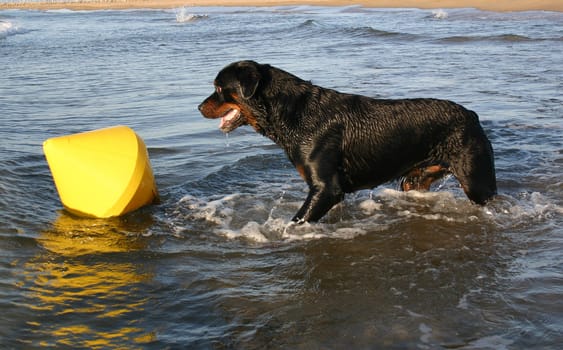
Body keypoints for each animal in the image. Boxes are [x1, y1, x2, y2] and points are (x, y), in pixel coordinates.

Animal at [199, 60, 498, 221]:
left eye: (218, 88)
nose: (199, 107)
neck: (293, 113)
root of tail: (472, 115)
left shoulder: (327, 188)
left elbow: (298, 221)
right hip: (417, 178)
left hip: (476, 177)